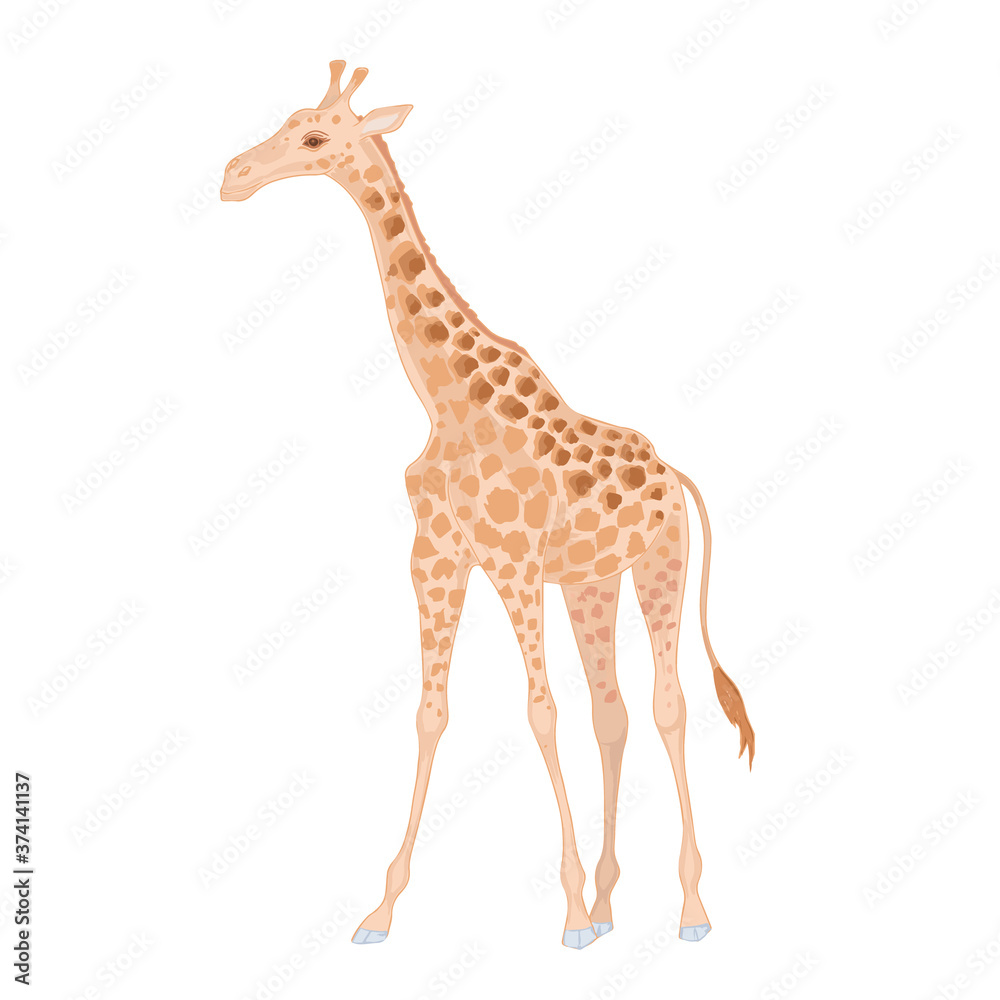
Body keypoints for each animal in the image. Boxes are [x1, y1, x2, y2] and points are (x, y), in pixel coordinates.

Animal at [221, 61, 755, 950]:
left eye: (317, 137)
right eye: (292, 121)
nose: (233, 176)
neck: (443, 399)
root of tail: (675, 474)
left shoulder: (512, 563)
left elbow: (540, 712)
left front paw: (567, 915)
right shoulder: (436, 559)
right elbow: (432, 714)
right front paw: (381, 911)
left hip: (661, 563)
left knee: (669, 705)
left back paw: (689, 910)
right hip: (591, 582)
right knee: (613, 712)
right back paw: (612, 905)